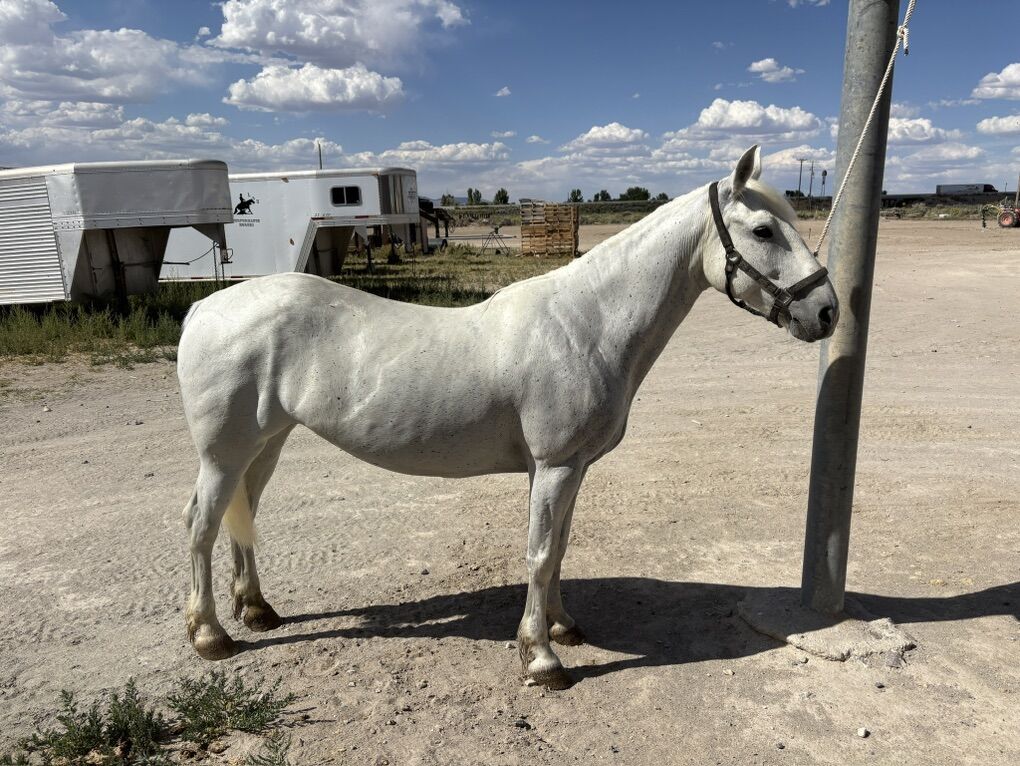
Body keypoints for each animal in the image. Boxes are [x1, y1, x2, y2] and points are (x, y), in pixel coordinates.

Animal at [177, 146, 838, 689]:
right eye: (762, 230)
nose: (826, 312)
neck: (587, 324)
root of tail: (204, 309)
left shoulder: (570, 469)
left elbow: (561, 547)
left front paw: (564, 627)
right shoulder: (553, 466)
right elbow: (540, 555)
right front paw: (542, 659)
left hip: (264, 444)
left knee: (243, 517)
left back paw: (256, 610)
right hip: (223, 453)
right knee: (202, 526)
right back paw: (211, 636)